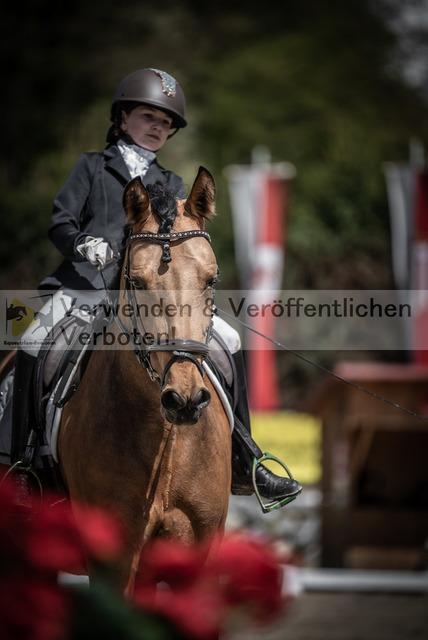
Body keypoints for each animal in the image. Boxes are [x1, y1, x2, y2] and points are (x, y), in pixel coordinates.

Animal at [57, 167, 232, 594]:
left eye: (211, 279)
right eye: (136, 283)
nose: (185, 400)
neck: (166, 443)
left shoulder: (199, 559)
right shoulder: (113, 564)